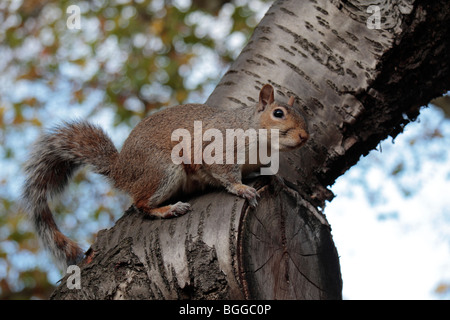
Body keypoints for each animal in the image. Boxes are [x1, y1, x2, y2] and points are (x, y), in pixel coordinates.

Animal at [21, 84, 310, 268]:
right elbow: (225, 175)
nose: (305, 136)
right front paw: (242, 189)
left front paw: (279, 181)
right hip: (163, 171)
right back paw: (168, 209)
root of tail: (121, 170)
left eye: (304, 114)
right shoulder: (217, 150)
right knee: (140, 204)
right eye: (278, 113)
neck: (259, 138)